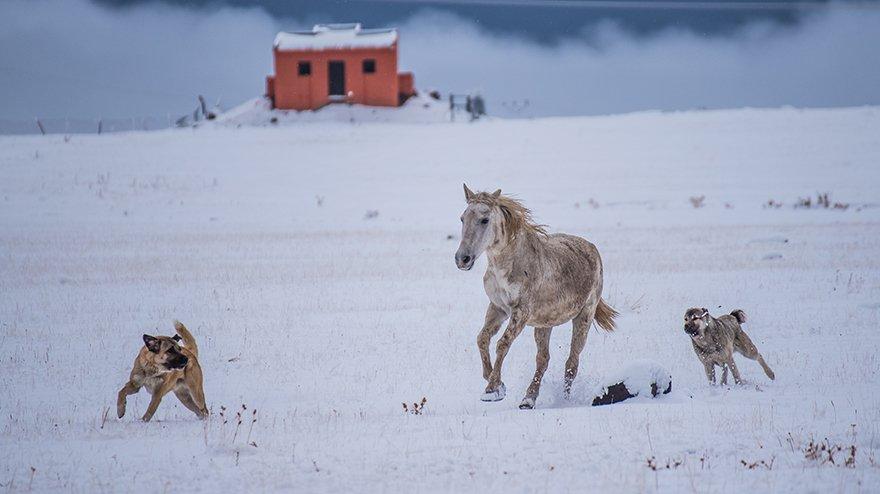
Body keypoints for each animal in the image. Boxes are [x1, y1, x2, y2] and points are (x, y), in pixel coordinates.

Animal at [458, 185, 616, 410]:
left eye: (484, 220)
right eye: (462, 218)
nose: (462, 259)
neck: (509, 264)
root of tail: (592, 248)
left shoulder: (521, 313)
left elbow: (502, 344)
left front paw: (492, 389)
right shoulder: (498, 308)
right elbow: (482, 339)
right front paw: (497, 383)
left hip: (584, 316)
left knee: (572, 362)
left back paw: (563, 400)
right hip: (543, 324)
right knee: (543, 360)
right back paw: (528, 399)